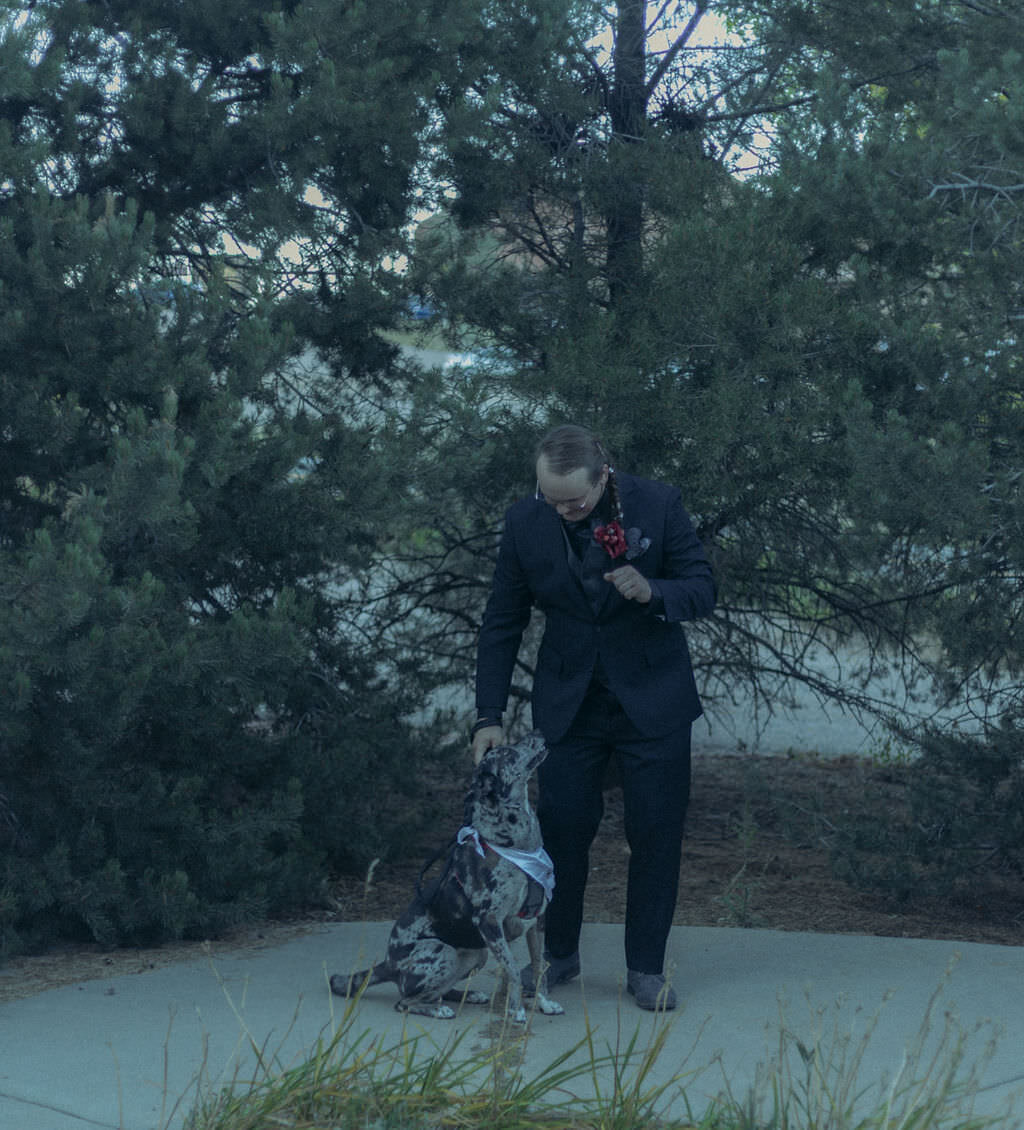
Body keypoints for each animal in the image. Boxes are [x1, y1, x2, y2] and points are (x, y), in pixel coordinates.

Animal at [332, 732, 562, 1026]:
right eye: (508, 751)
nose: (539, 733)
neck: (519, 843)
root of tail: (388, 964)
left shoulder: (535, 920)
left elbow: (539, 967)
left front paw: (544, 1003)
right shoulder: (489, 922)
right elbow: (512, 968)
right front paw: (516, 1009)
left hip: (476, 953)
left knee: (435, 992)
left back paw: (467, 995)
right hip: (444, 951)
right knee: (404, 1002)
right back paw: (437, 1010)